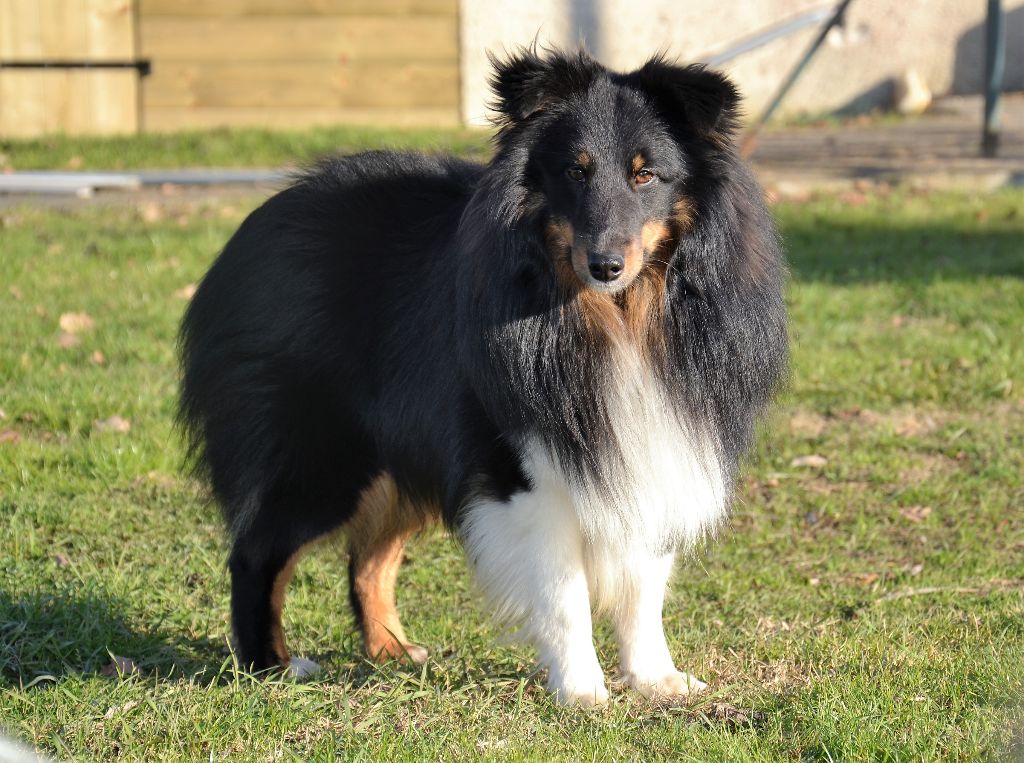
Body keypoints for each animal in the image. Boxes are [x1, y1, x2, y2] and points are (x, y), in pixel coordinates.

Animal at [178, 46, 782, 700]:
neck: (618, 318)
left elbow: (643, 583)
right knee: (258, 551)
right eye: (575, 172)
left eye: (646, 174)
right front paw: (582, 691)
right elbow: (563, 591)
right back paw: (271, 665)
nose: (604, 265)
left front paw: (656, 679)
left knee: (368, 557)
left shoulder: (658, 434)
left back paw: (391, 650)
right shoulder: (522, 468)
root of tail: (253, 229)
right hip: (324, 452)